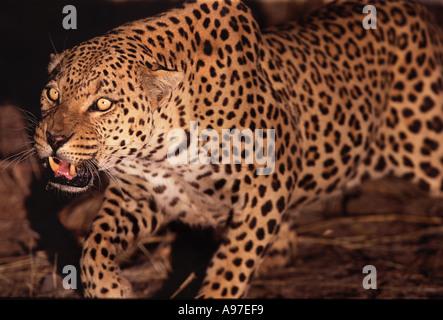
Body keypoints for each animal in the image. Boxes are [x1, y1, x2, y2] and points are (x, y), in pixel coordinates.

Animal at [33, 0, 443, 298]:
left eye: (102, 104)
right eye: (52, 94)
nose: (53, 139)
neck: (157, 149)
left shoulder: (267, 185)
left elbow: (233, 263)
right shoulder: (139, 196)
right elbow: (94, 247)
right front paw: (112, 291)